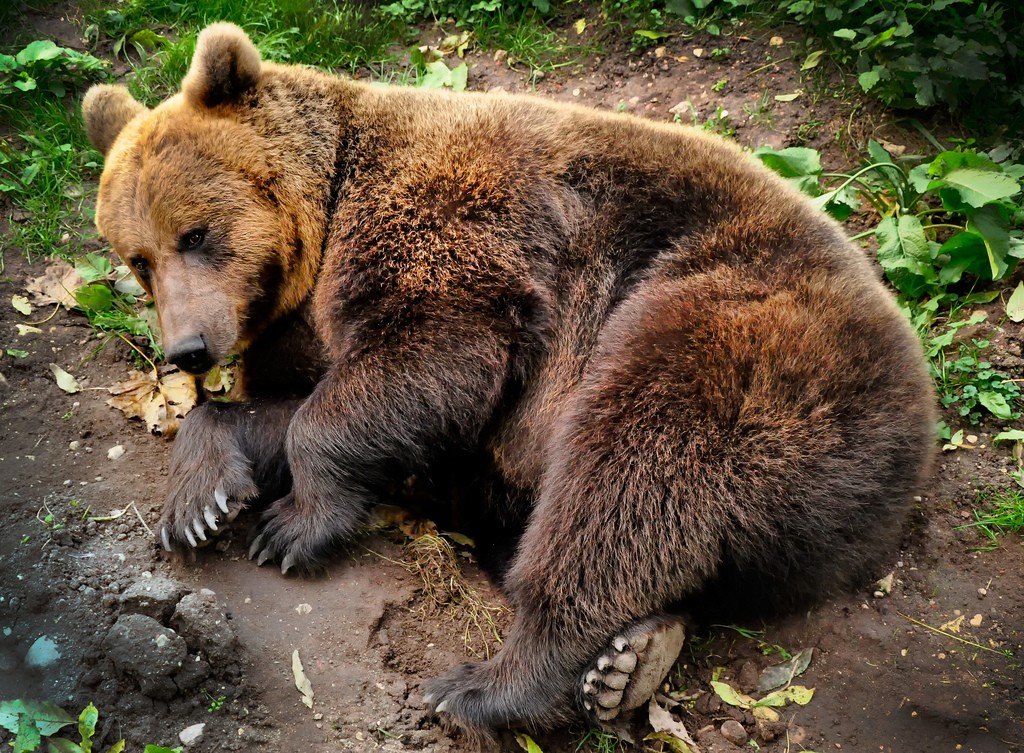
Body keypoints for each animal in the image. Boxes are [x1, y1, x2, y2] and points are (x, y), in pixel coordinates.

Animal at [86, 23, 937, 737]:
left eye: (197, 233)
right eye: (138, 258)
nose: (189, 349)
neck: (324, 213)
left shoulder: (456, 231)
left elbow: (425, 364)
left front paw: (292, 527)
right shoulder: (307, 330)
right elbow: (292, 407)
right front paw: (196, 502)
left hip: (735, 333)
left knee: (629, 474)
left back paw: (490, 686)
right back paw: (636, 654)